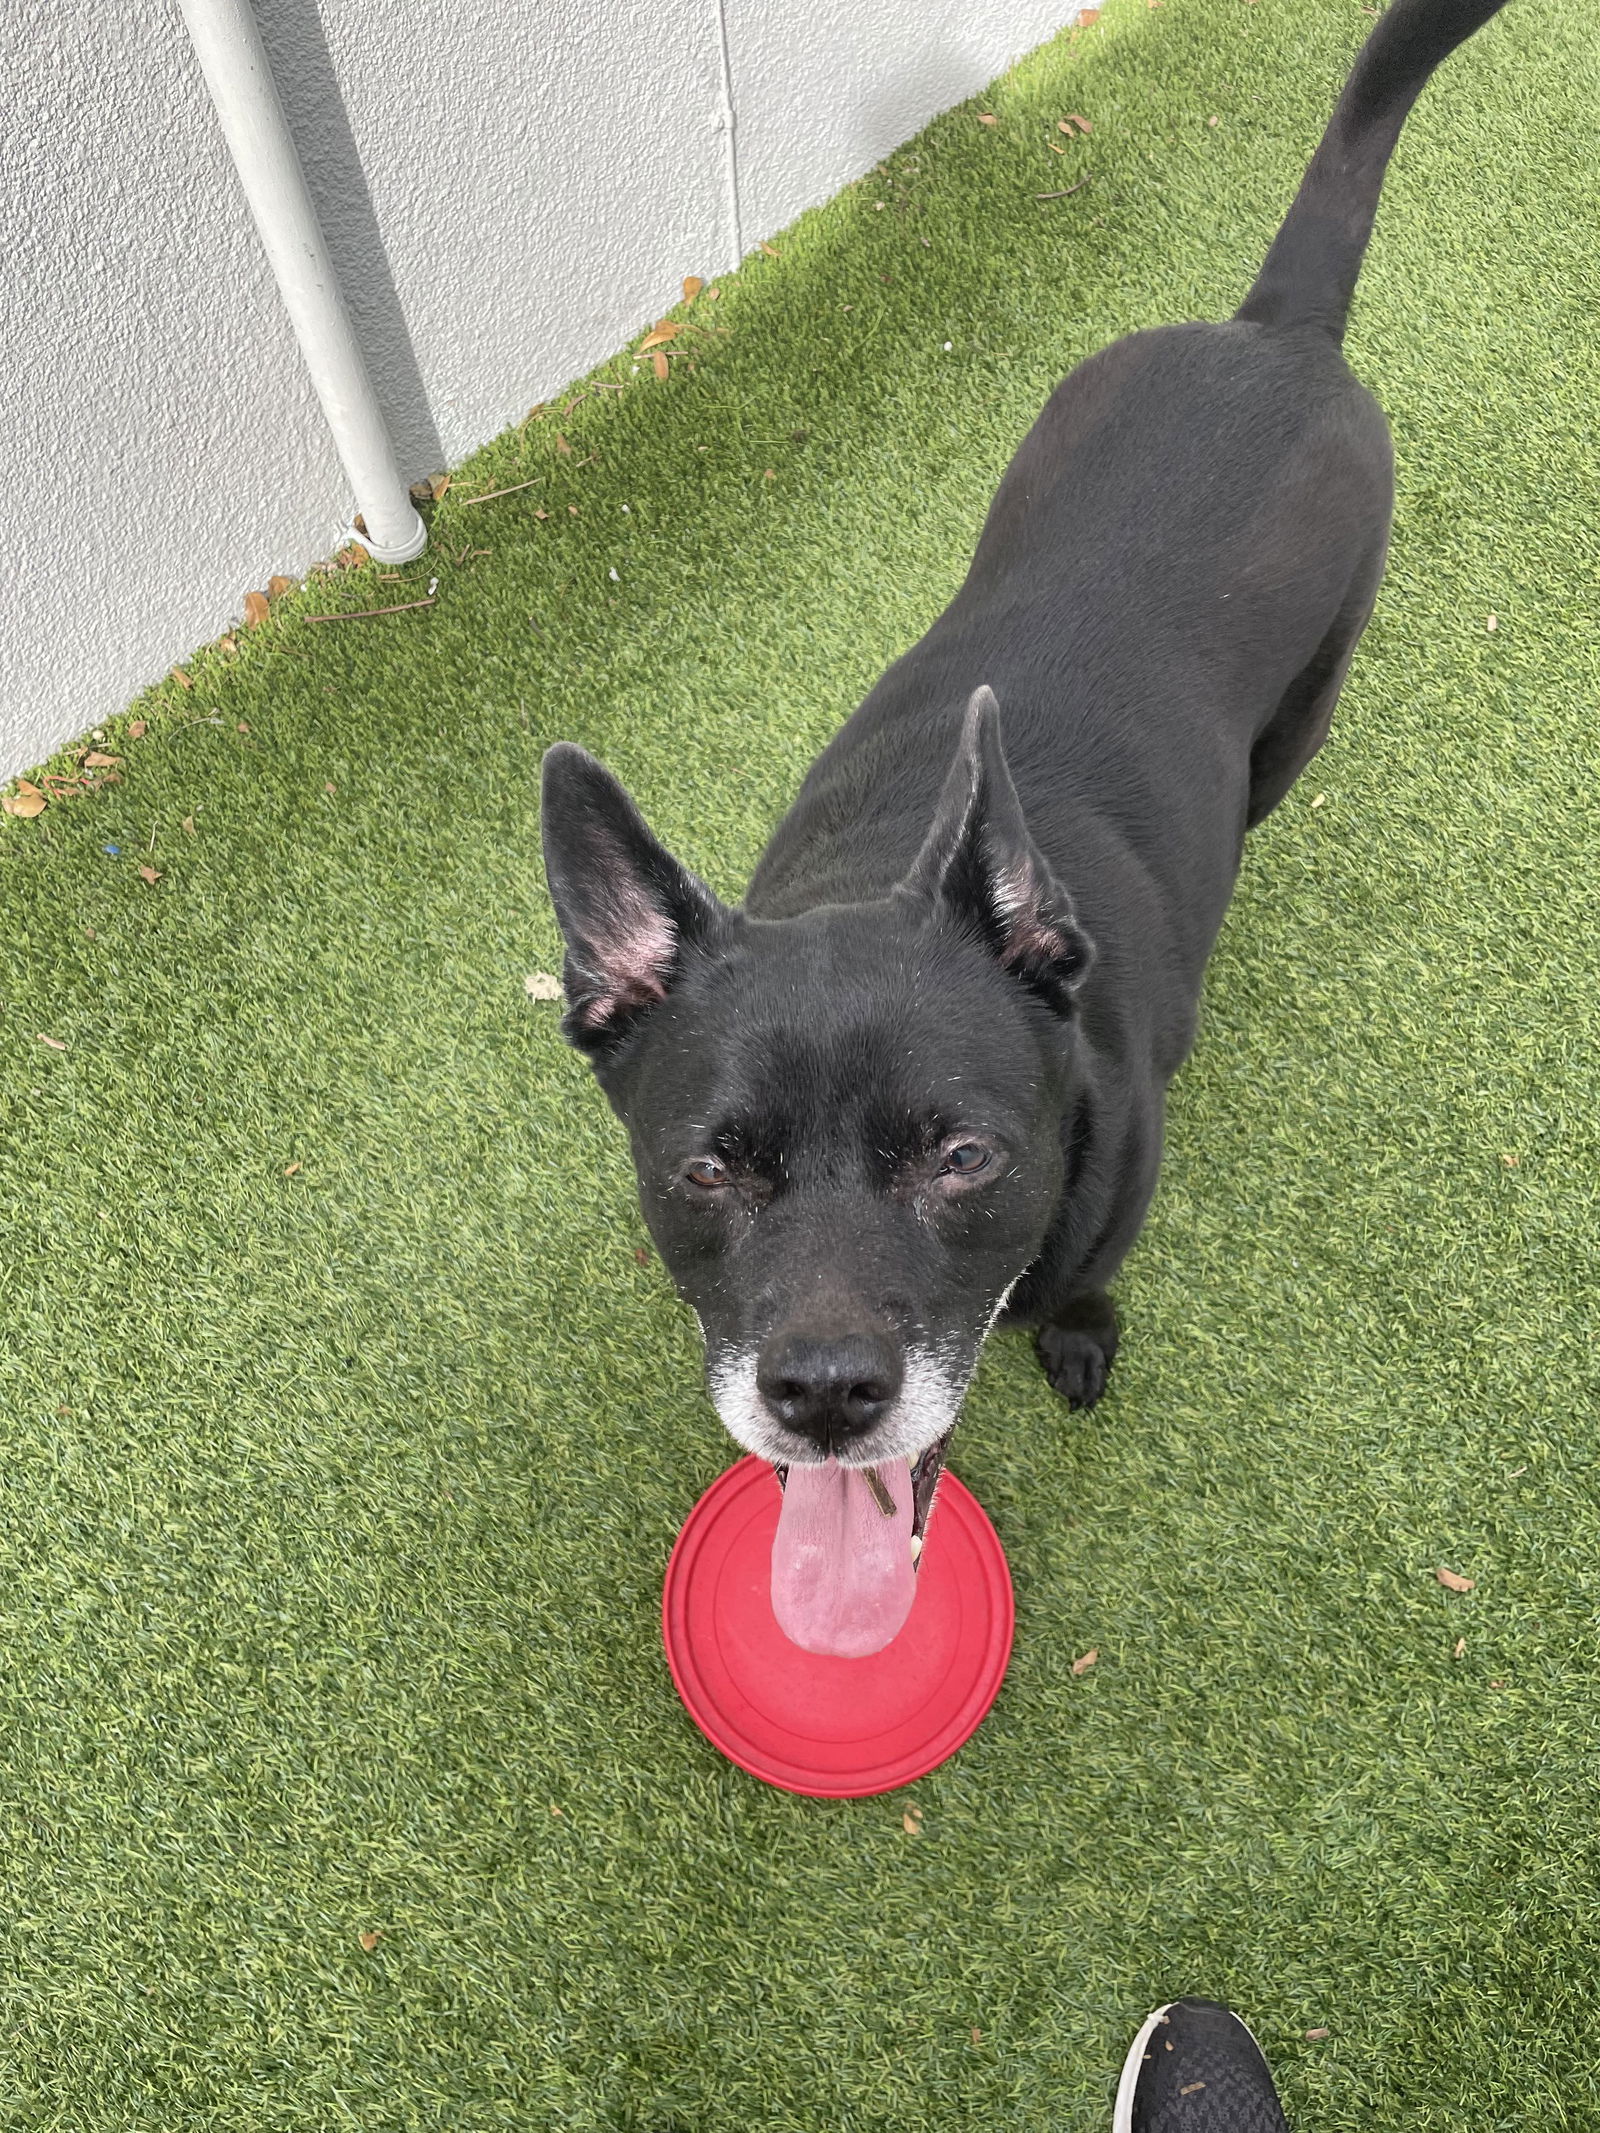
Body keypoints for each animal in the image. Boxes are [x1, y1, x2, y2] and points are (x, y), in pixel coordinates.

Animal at [546, 0, 1510, 1638]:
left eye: (963, 1158)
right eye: (707, 1169)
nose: (823, 1396)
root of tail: (1273, 333)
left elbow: (1076, 1287)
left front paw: (1080, 1334)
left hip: (1304, 715)